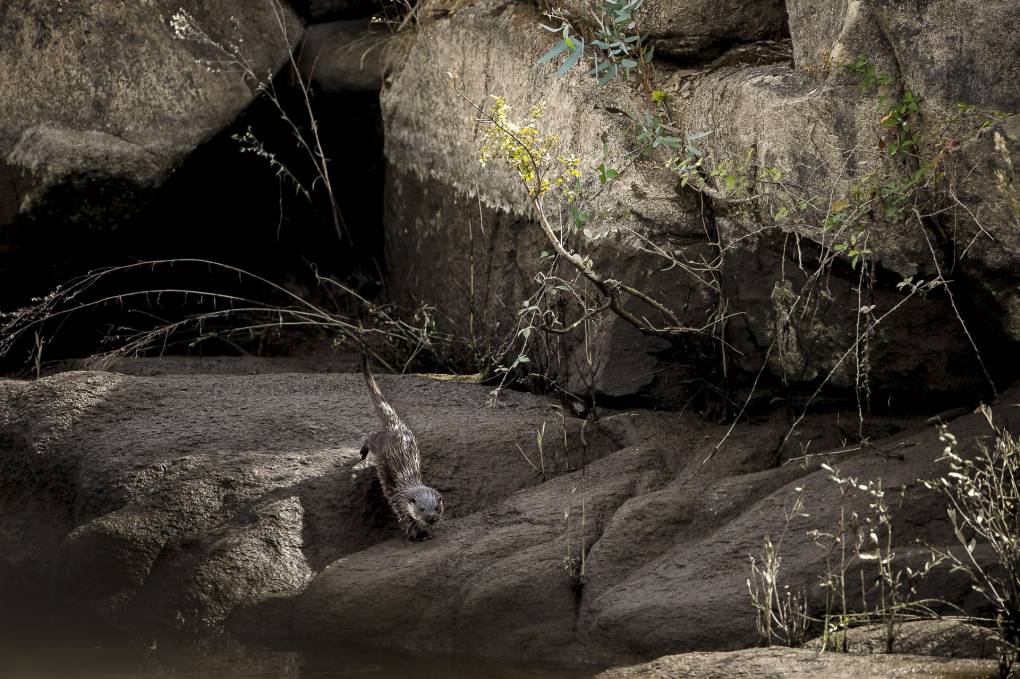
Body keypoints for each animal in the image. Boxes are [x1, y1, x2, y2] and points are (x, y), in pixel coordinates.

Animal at [359, 358, 442, 538]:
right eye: (421, 509)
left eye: (436, 508)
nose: (431, 517)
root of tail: (395, 423)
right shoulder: (398, 504)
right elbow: (408, 523)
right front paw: (418, 536)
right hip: (379, 443)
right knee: (368, 436)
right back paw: (362, 454)